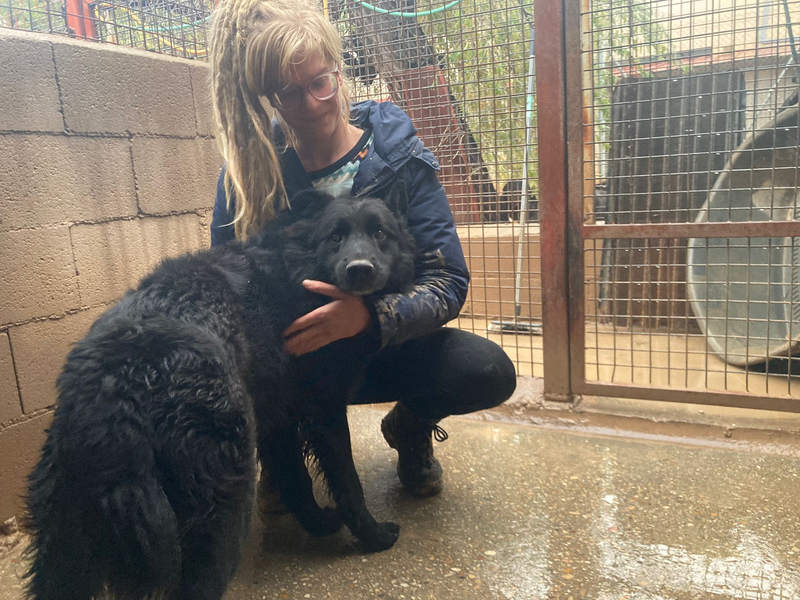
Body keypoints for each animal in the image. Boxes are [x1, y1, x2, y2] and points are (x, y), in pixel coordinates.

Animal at [24, 191, 415, 600]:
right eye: (335, 237)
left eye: (380, 233)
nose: (360, 269)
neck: (300, 268)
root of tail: (117, 386)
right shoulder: (324, 412)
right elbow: (347, 482)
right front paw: (374, 535)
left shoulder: (277, 419)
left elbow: (295, 480)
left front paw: (319, 523)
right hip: (223, 504)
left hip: (66, 541)